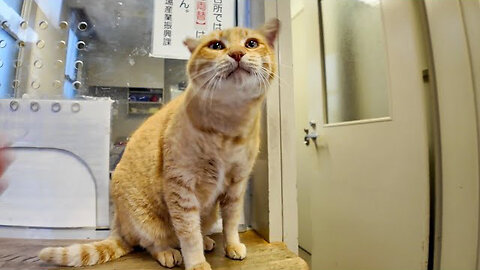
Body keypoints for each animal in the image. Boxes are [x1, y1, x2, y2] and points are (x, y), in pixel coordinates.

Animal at [39, 19, 280, 270]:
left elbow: (231, 224)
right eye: (216, 45)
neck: (229, 124)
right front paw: (196, 263)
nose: (237, 53)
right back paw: (168, 252)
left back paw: (206, 240)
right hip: (144, 221)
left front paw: (232, 245)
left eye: (251, 43)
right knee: (152, 242)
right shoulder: (181, 186)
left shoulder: (236, 185)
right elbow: (188, 233)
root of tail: (118, 224)